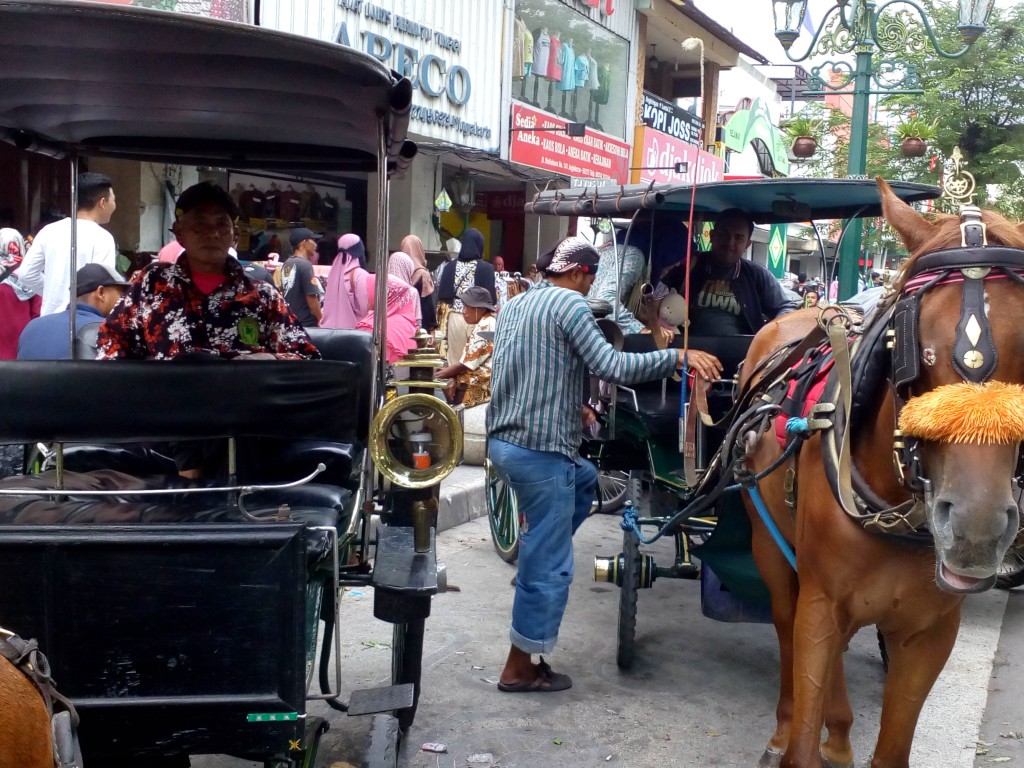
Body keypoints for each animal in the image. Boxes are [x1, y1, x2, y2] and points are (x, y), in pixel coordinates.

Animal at [741, 177, 1024, 765]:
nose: (975, 530)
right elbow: (803, 725)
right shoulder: (821, 607)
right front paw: (800, 735)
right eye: (914, 345)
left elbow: (892, 748)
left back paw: (841, 733)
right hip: (768, 543)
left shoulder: (931, 634)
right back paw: (785, 727)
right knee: (784, 619)